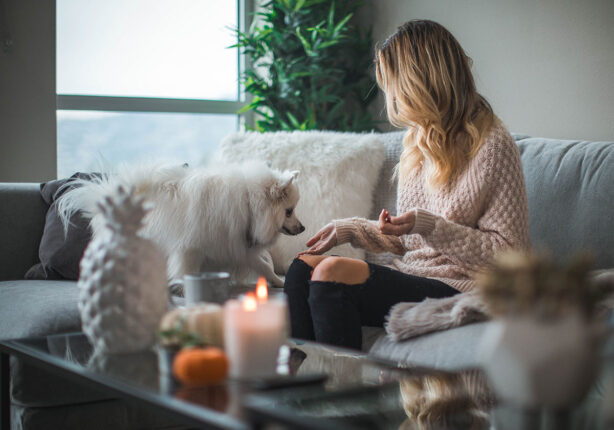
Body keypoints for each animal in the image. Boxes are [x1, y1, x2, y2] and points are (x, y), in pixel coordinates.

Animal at [59, 160, 304, 286]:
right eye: (289, 211)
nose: (302, 228)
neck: (247, 203)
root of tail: (107, 194)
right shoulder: (190, 249)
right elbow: (186, 271)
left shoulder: (235, 245)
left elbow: (263, 266)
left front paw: (278, 282)